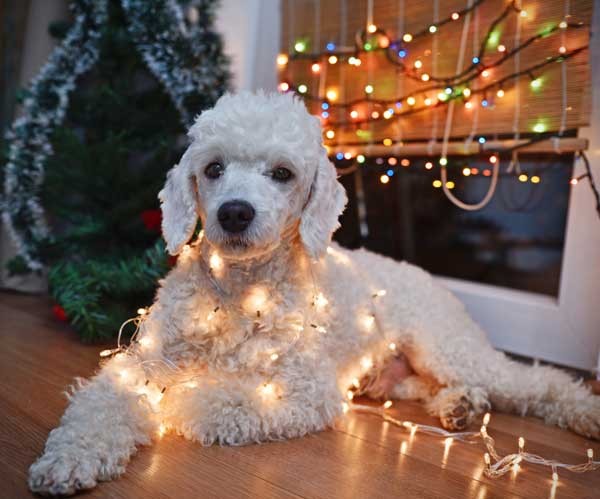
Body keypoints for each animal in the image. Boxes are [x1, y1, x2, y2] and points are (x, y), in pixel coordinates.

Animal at [29, 93, 600, 496]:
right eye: (213, 168)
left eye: (282, 173)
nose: (234, 213)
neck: (236, 298)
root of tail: (430, 278)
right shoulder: (139, 365)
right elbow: (100, 406)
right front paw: (69, 459)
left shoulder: (303, 392)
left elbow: (208, 401)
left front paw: (173, 405)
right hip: (402, 373)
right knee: (435, 388)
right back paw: (459, 406)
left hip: (444, 345)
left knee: (539, 382)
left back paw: (581, 412)